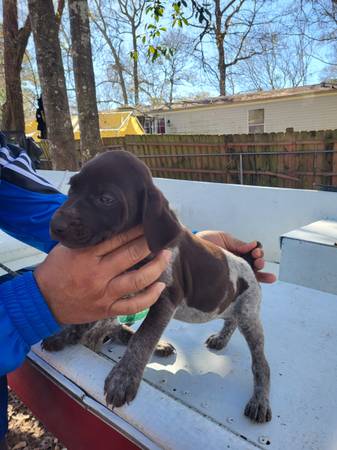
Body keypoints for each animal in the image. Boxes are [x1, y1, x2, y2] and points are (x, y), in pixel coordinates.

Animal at [44, 150, 270, 422]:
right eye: (72, 189)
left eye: (105, 199)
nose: (55, 226)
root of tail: (246, 262)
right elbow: (92, 318)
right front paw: (64, 335)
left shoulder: (165, 299)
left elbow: (143, 337)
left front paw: (123, 378)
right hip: (231, 306)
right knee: (230, 320)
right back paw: (220, 339)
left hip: (249, 313)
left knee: (261, 364)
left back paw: (260, 400)